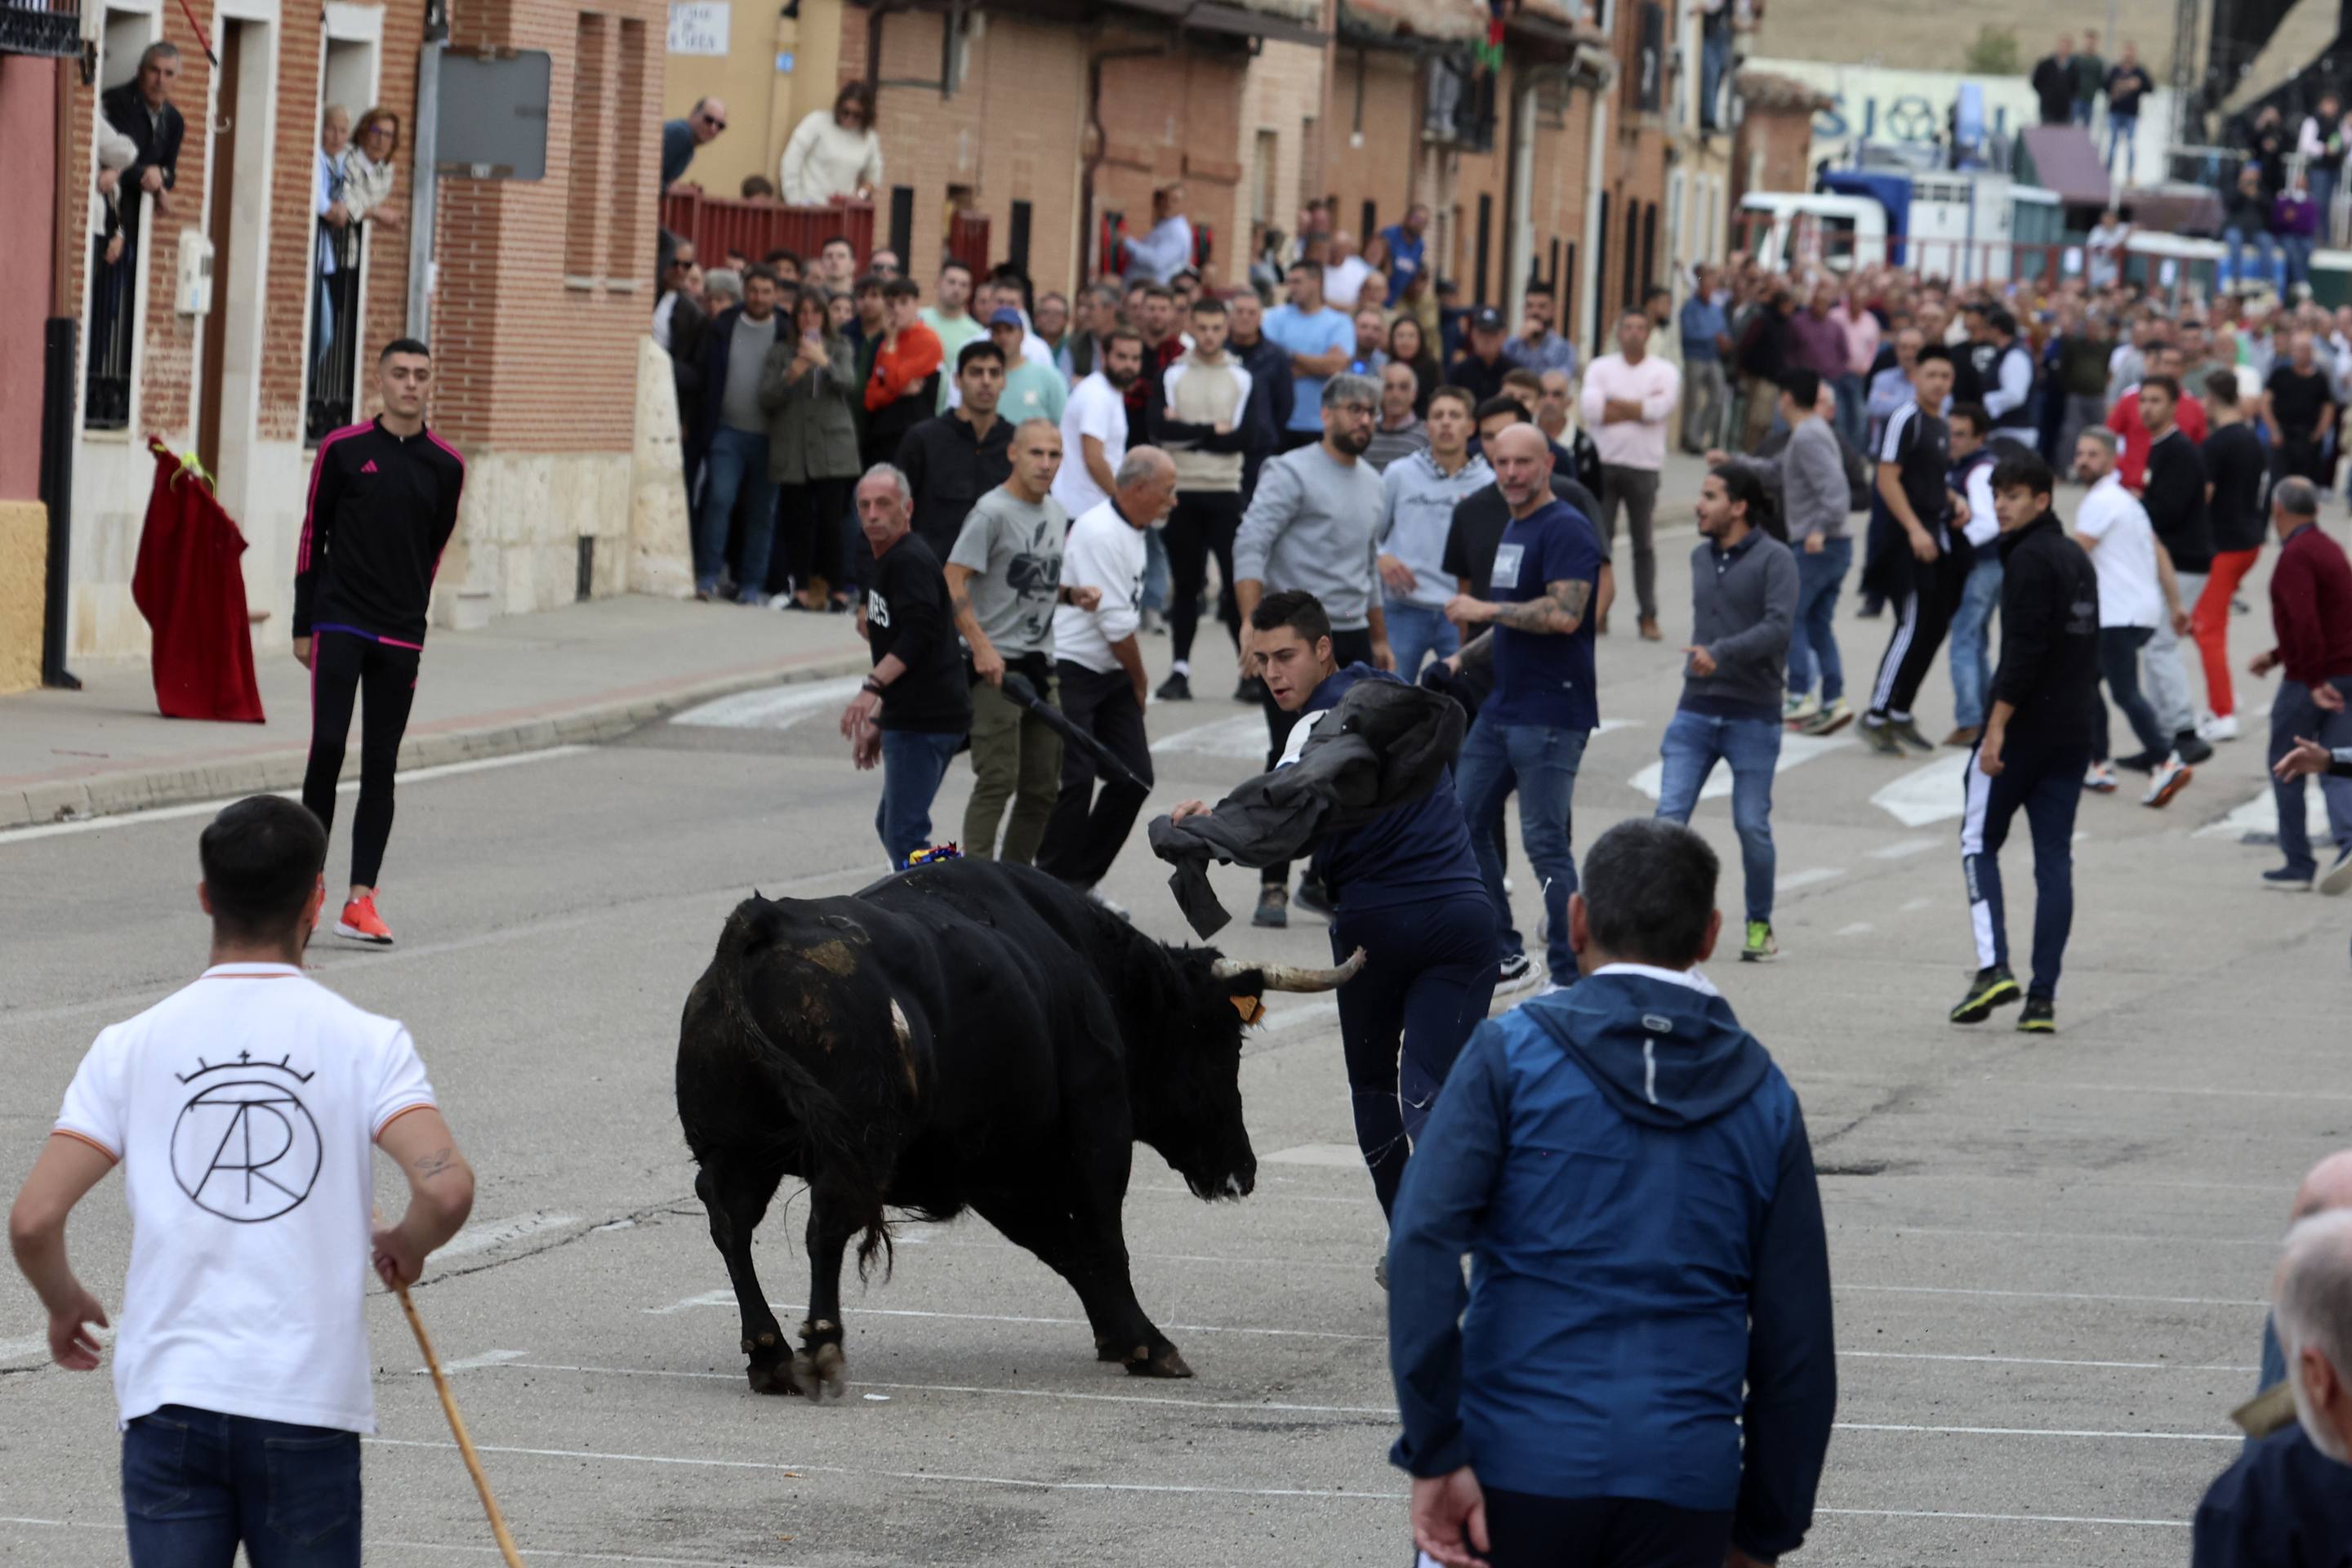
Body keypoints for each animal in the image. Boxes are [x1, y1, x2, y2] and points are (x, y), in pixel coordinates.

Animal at [672, 860, 1364, 1401]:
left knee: (731, 1222)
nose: (1240, 1171)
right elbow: (1101, 1238)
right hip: (851, 1150)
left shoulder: (990, 1170)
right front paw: (1147, 1344)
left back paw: (769, 1354)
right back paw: (820, 1345)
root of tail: (764, 925)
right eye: (1223, 1042)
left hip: (736, 1150)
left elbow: (1062, 1247)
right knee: (824, 1225)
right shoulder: (1095, 1131)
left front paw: (1117, 1335)